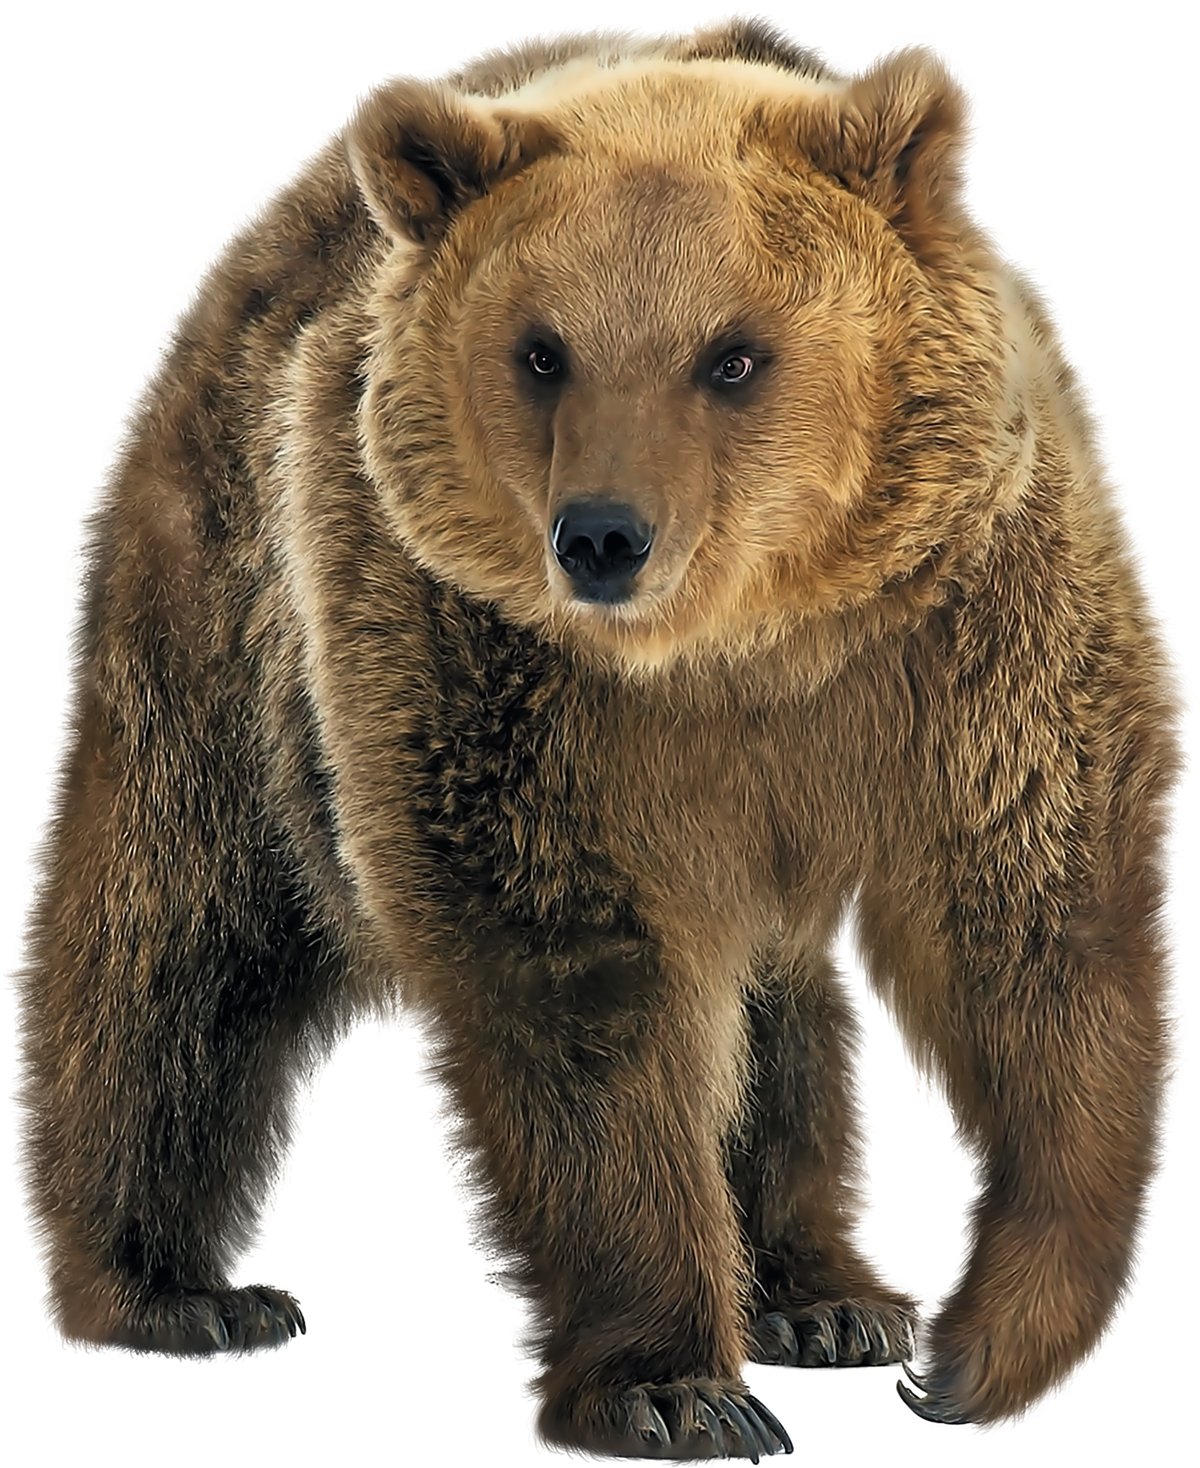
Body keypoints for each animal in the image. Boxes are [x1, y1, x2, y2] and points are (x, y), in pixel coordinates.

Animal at [7, 6, 1190, 1459]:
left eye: (732, 353)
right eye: (542, 349)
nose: (604, 536)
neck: (745, 644)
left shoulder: (964, 636)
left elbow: (1038, 935)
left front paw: (974, 1351)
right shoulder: (496, 677)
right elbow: (580, 993)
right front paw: (674, 1390)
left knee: (777, 1015)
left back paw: (825, 1297)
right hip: (228, 603)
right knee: (176, 927)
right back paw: (178, 1292)